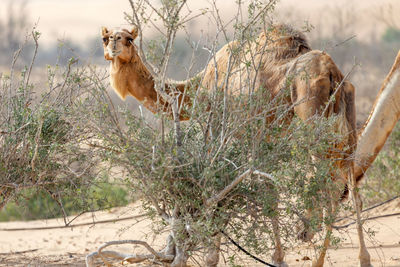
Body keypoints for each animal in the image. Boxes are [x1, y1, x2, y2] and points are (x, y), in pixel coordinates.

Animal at [98, 24, 400, 266]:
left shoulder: (227, 132)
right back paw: (363, 259)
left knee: (328, 187)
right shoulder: (264, 137)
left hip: (312, 122)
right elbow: (266, 189)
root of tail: (332, 73)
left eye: (129, 39)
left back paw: (318, 260)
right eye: (106, 38)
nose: (114, 45)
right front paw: (276, 256)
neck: (199, 88)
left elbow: (222, 187)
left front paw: (216, 257)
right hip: (345, 123)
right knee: (349, 187)